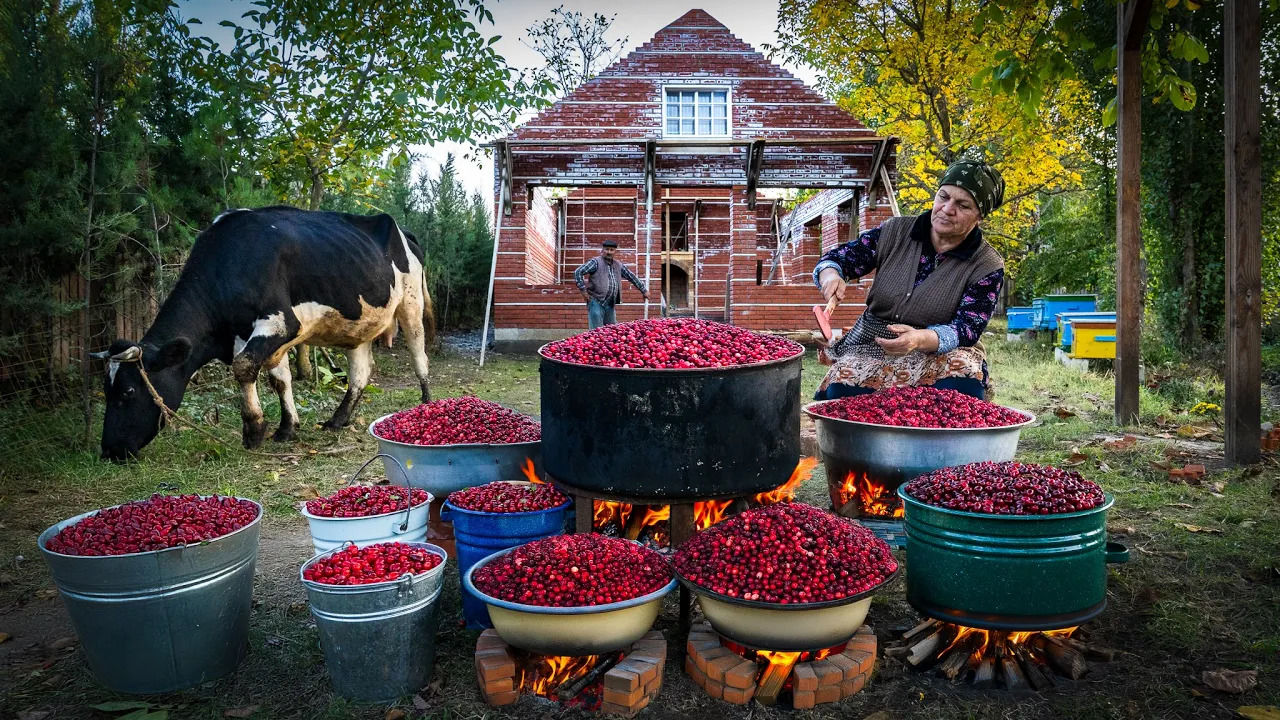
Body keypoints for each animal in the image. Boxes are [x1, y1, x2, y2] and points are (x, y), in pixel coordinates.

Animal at [96, 204, 435, 458]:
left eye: (128, 391)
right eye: (106, 390)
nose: (109, 450)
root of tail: (402, 229)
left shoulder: (280, 321)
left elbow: (244, 367)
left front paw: (253, 430)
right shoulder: (256, 336)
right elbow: (279, 380)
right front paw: (286, 428)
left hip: (411, 303)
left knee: (419, 352)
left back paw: (426, 402)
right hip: (360, 324)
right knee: (360, 374)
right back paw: (338, 420)